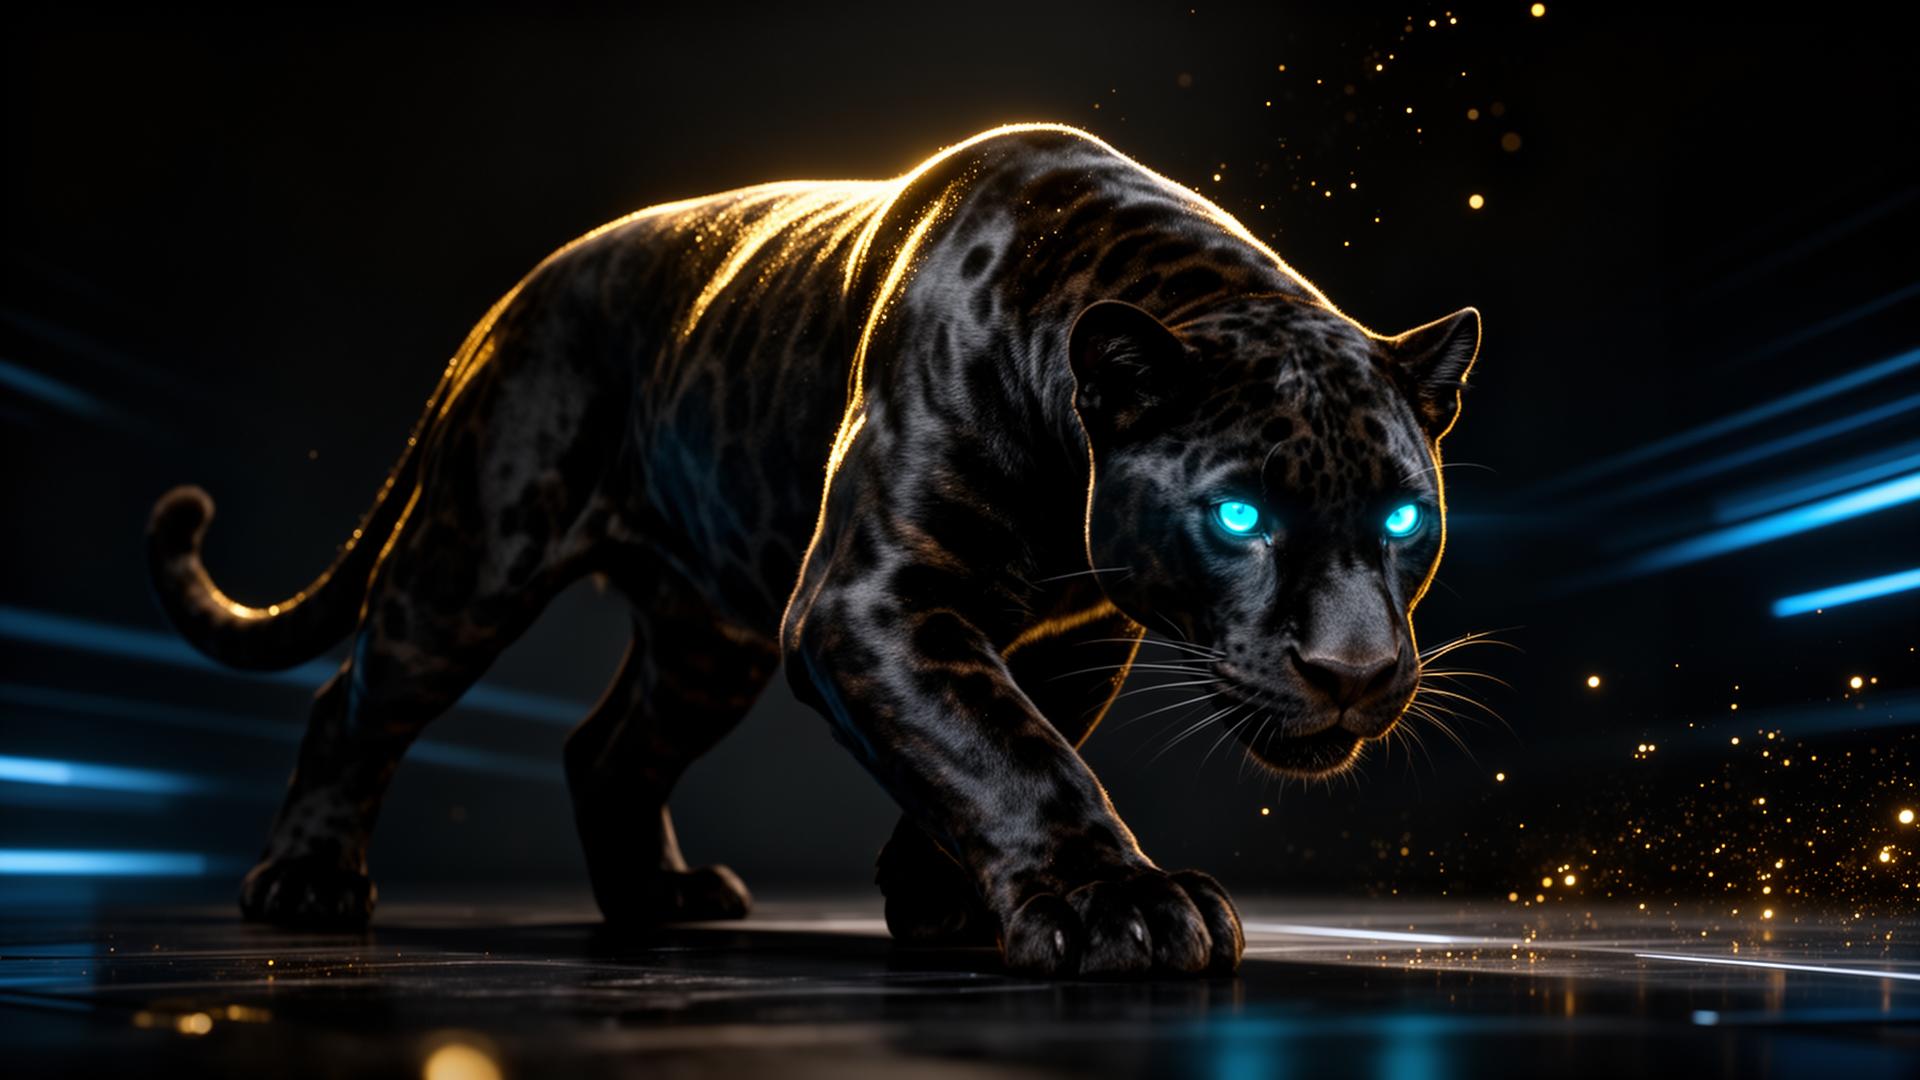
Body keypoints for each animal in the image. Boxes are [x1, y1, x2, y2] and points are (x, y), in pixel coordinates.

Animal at [146, 123, 1480, 978]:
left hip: (703, 641)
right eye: (1239, 517)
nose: (1356, 672)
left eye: (1404, 522)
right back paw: (307, 884)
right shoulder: (867, 603)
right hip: (473, 562)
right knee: (354, 700)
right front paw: (1126, 907)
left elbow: (998, 737)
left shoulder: (1073, 638)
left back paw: (659, 898)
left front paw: (938, 895)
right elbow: (1006, 749)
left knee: (606, 748)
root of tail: (510, 303)